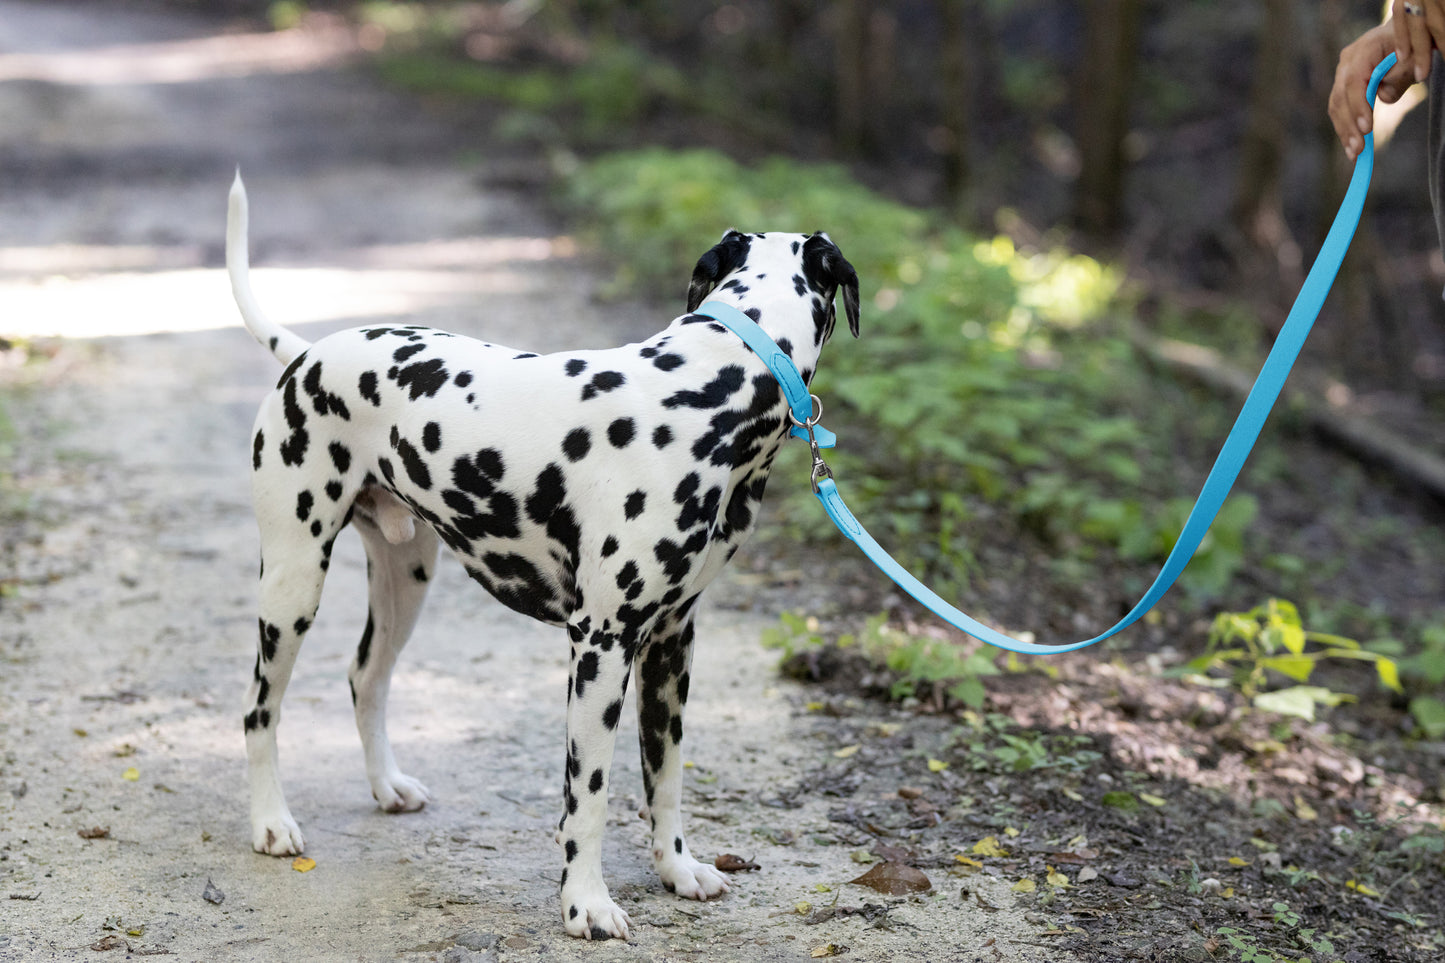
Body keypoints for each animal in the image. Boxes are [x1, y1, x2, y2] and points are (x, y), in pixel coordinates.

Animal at [225, 174, 855, 936]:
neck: (712, 383)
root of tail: (309, 352)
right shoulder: (602, 644)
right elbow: (589, 794)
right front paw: (586, 903)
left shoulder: (671, 642)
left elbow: (665, 778)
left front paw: (677, 869)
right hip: (292, 585)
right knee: (259, 708)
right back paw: (271, 821)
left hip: (406, 581)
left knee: (364, 678)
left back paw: (386, 785)